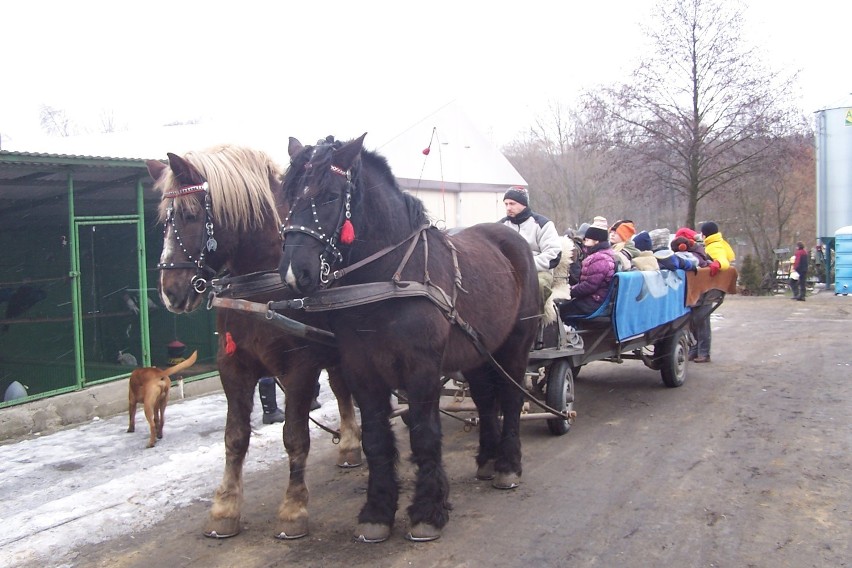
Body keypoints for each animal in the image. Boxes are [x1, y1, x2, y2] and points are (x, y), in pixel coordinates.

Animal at [146, 143, 360, 540]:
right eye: (164, 220)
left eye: (189, 214)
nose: (171, 292)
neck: (260, 284)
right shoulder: (233, 365)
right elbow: (235, 436)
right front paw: (225, 508)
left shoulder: (300, 365)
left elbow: (295, 436)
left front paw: (293, 509)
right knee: (342, 389)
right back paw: (352, 446)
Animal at [276, 133, 536, 540]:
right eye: (287, 195)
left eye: (331, 196)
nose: (293, 273)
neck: (388, 279)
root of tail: (511, 237)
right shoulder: (361, 371)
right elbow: (376, 439)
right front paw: (377, 512)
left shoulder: (422, 369)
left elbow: (424, 435)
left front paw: (427, 512)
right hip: (479, 350)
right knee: (484, 398)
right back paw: (487, 458)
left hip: (516, 344)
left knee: (509, 398)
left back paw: (507, 465)